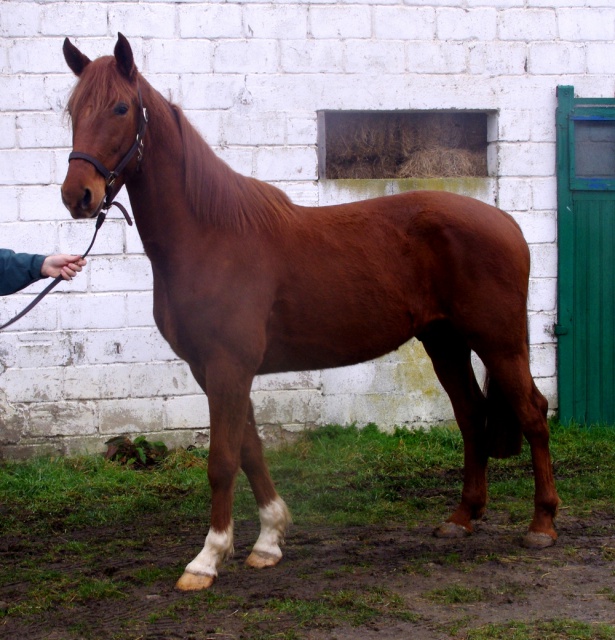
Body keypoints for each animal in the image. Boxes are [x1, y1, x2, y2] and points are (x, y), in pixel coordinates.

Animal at [60, 35, 560, 592]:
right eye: (73, 110)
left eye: (121, 109)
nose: (78, 195)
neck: (211, 235)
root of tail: (506, 222)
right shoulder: (215, 369)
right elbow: (251, 450)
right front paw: (268, 540)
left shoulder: (228, 365)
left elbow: (222, 460)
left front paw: (207, 559)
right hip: (445, 341)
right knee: (471, 415)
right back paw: (461, 517)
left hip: (499, 341)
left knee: (532, 413)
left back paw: (542, 525)